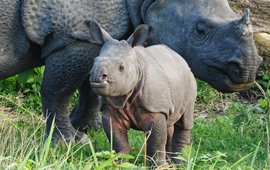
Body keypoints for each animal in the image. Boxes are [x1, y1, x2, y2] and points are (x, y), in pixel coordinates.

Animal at [88, 20, 196, 166]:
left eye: (121, 68)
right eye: (94, 62)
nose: (97, 76)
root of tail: (179, 57)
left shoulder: (155, 108)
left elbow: (156, 142)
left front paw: (158, 167)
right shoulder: (109, 108)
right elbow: (118, 143)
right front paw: (121, 165)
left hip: (190, 79)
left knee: (184, 121)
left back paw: (180, 164)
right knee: (169, 122)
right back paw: (172, 163)